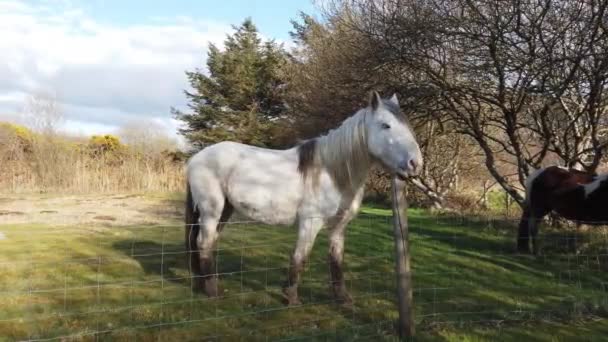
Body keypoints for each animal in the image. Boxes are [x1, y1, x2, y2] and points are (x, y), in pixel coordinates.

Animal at [185, 91, 422, 304]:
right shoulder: (310, 222)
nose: (415, 164)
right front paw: (291, 297)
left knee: (206, 241)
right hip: (211, 210)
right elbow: (300, 257)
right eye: (385, 125)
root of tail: (196, 158)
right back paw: (212, 291)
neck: (332, 172)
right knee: (203, 242)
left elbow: (336, 259)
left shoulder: (339, 226)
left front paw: (342, 298)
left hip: (225, 209)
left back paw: (202, 283)